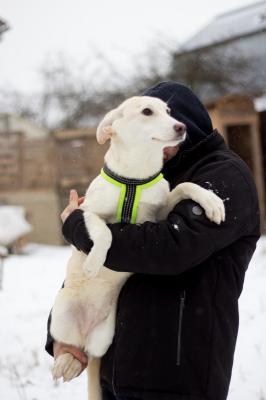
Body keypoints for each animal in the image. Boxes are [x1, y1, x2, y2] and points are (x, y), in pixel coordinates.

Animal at [50, 96, 224, 400]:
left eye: (169, 112)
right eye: (147, 112)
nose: (180, 127)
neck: (134, 178)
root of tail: (85, 330)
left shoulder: (159, 214)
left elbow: (185, 186)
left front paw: (212, 201)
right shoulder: (88, 212)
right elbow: (104, 234)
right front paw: (94, 263)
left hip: (104, 338)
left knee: (87, 353)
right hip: (60, 317)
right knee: (69, 346)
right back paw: (64, 363)